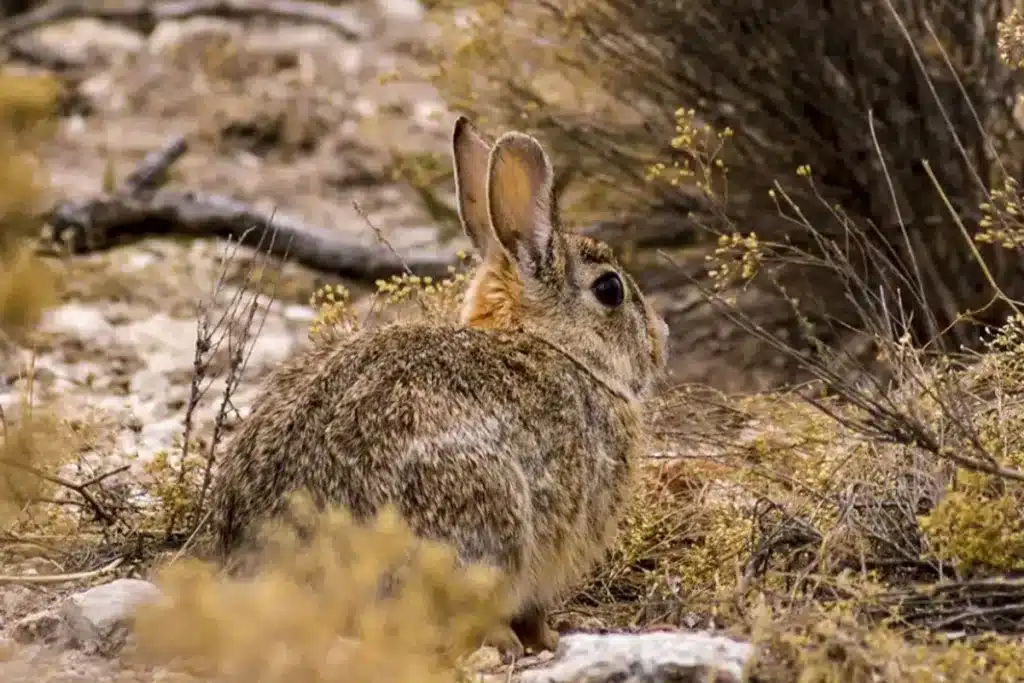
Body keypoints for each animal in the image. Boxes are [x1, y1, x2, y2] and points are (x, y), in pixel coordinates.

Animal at [209, 116, 670, 659]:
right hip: (479, 510)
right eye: (610, 290)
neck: (550, 343)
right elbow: (536, 607)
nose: (661, 339)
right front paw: (550, 639)